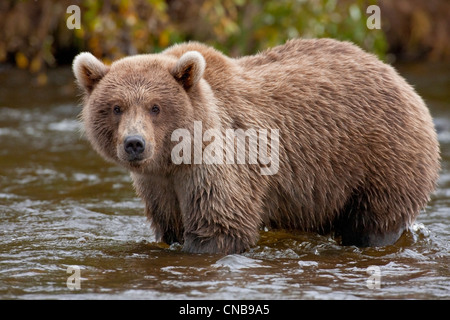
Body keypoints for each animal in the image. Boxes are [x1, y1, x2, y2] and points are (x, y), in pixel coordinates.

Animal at [73, 38, 440, 252]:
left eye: (155, 107)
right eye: (116, 107)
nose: (135, 143)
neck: (173, 159)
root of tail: (395, 74)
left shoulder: (218, 162)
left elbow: (220, 225)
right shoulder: (158, 185)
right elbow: (169, 225)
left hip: (381, 157)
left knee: (374, 220)